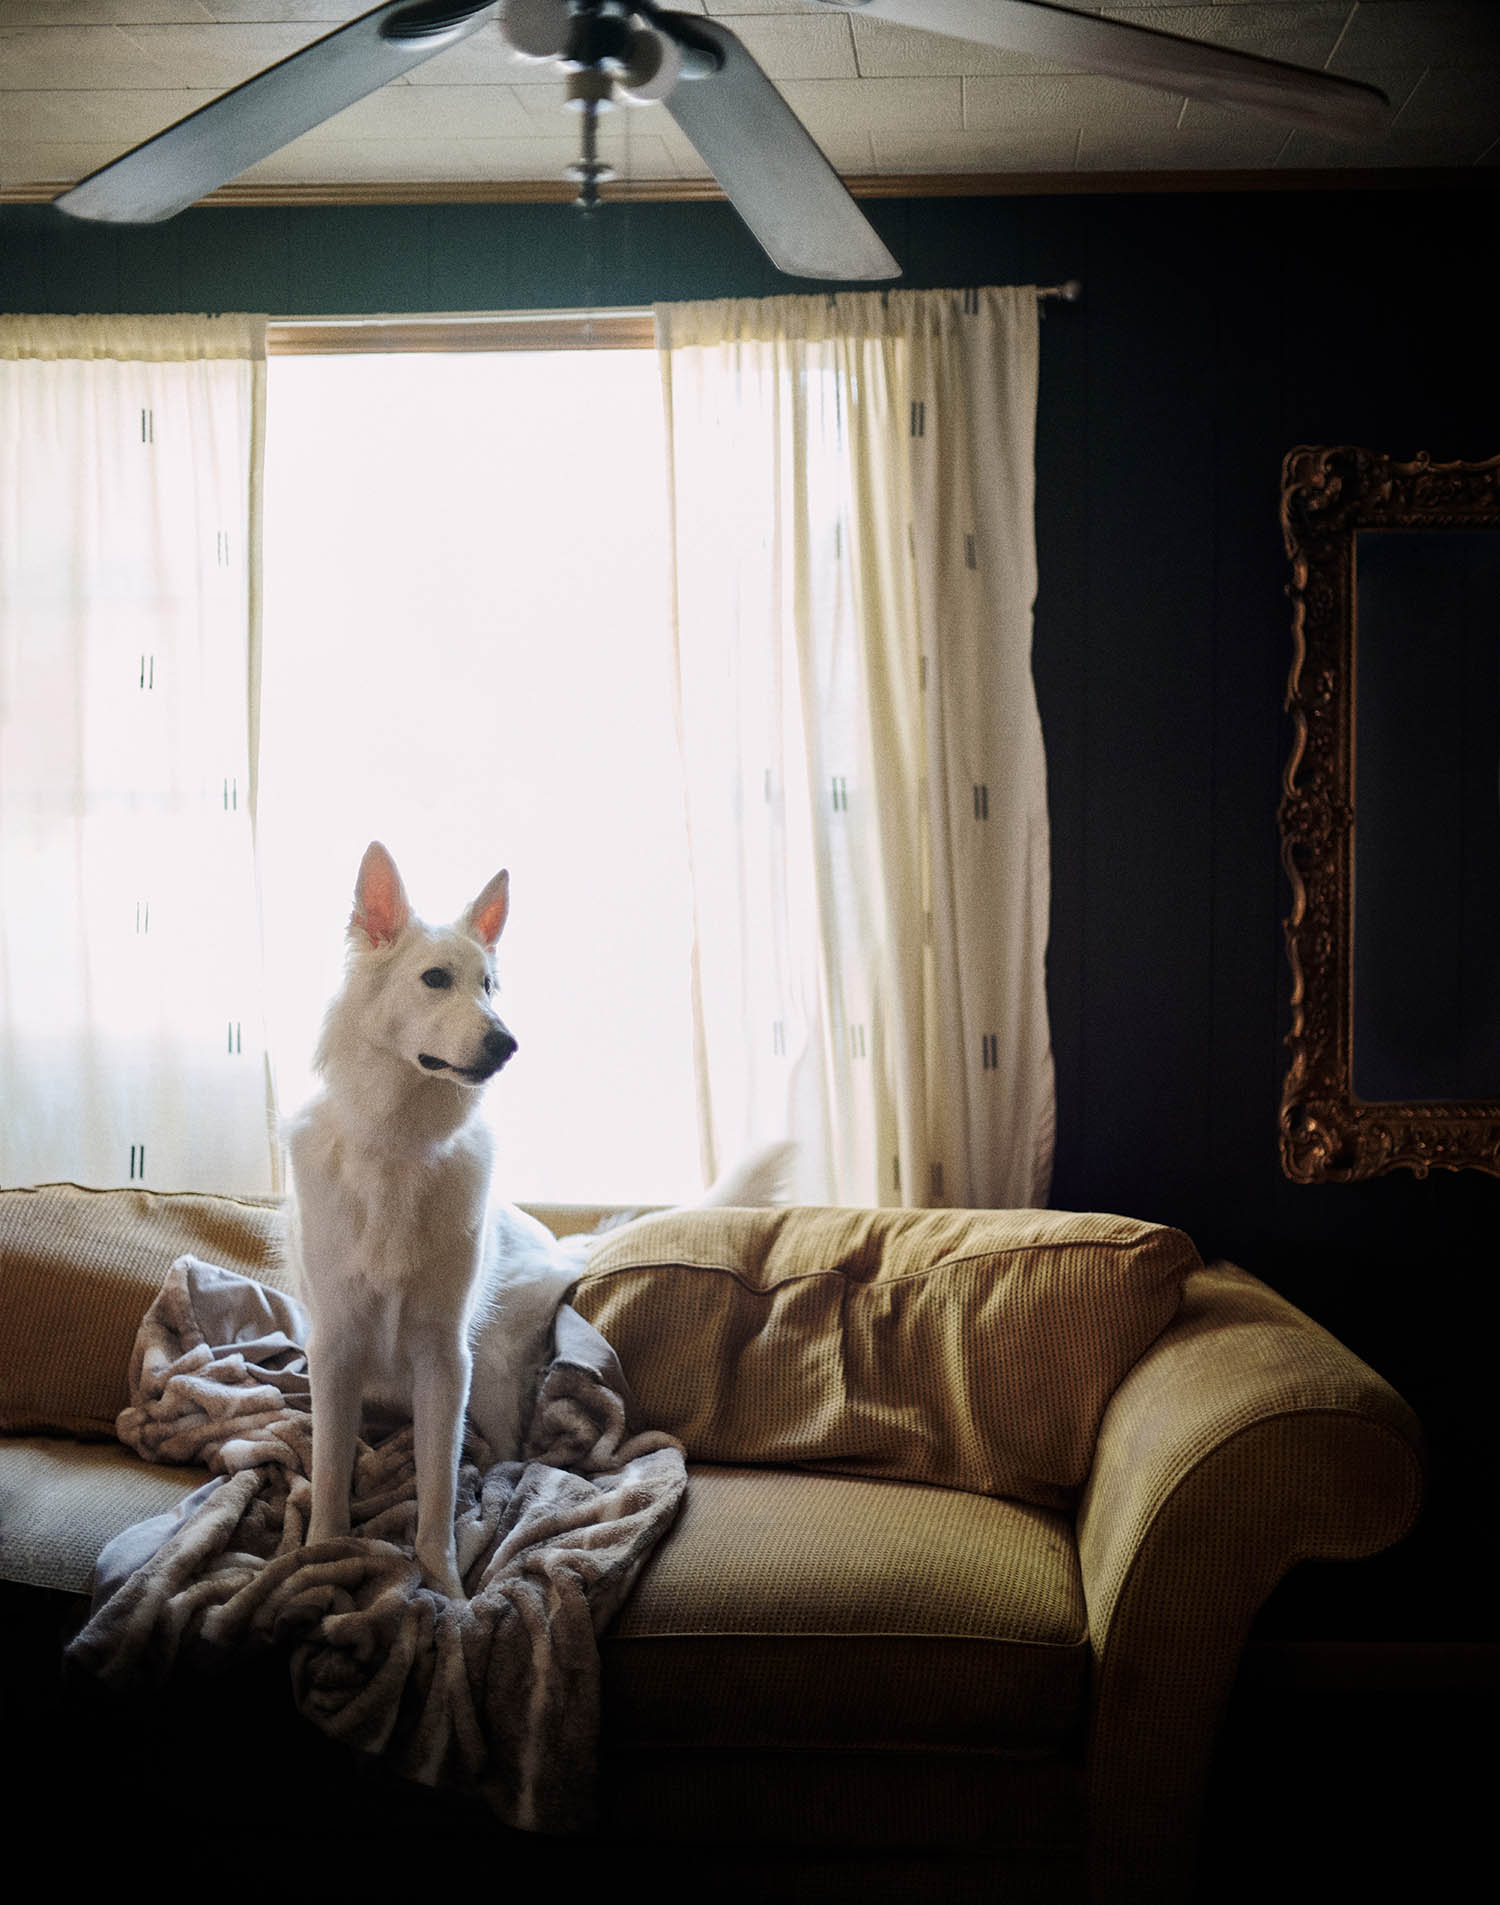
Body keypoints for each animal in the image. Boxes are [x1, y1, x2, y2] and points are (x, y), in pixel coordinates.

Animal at [286, 840, 788, 1599]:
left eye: (490, 986)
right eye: (435, 979)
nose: (507, 1044)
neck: (401, 1145)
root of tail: (560, 1246)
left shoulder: (446, 1357)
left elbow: (436, 1493)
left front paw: (447, 1591)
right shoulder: (335, 1347)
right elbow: (331, 1474)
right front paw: (321, 1557)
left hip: (489, 1369)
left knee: (502, 1455)